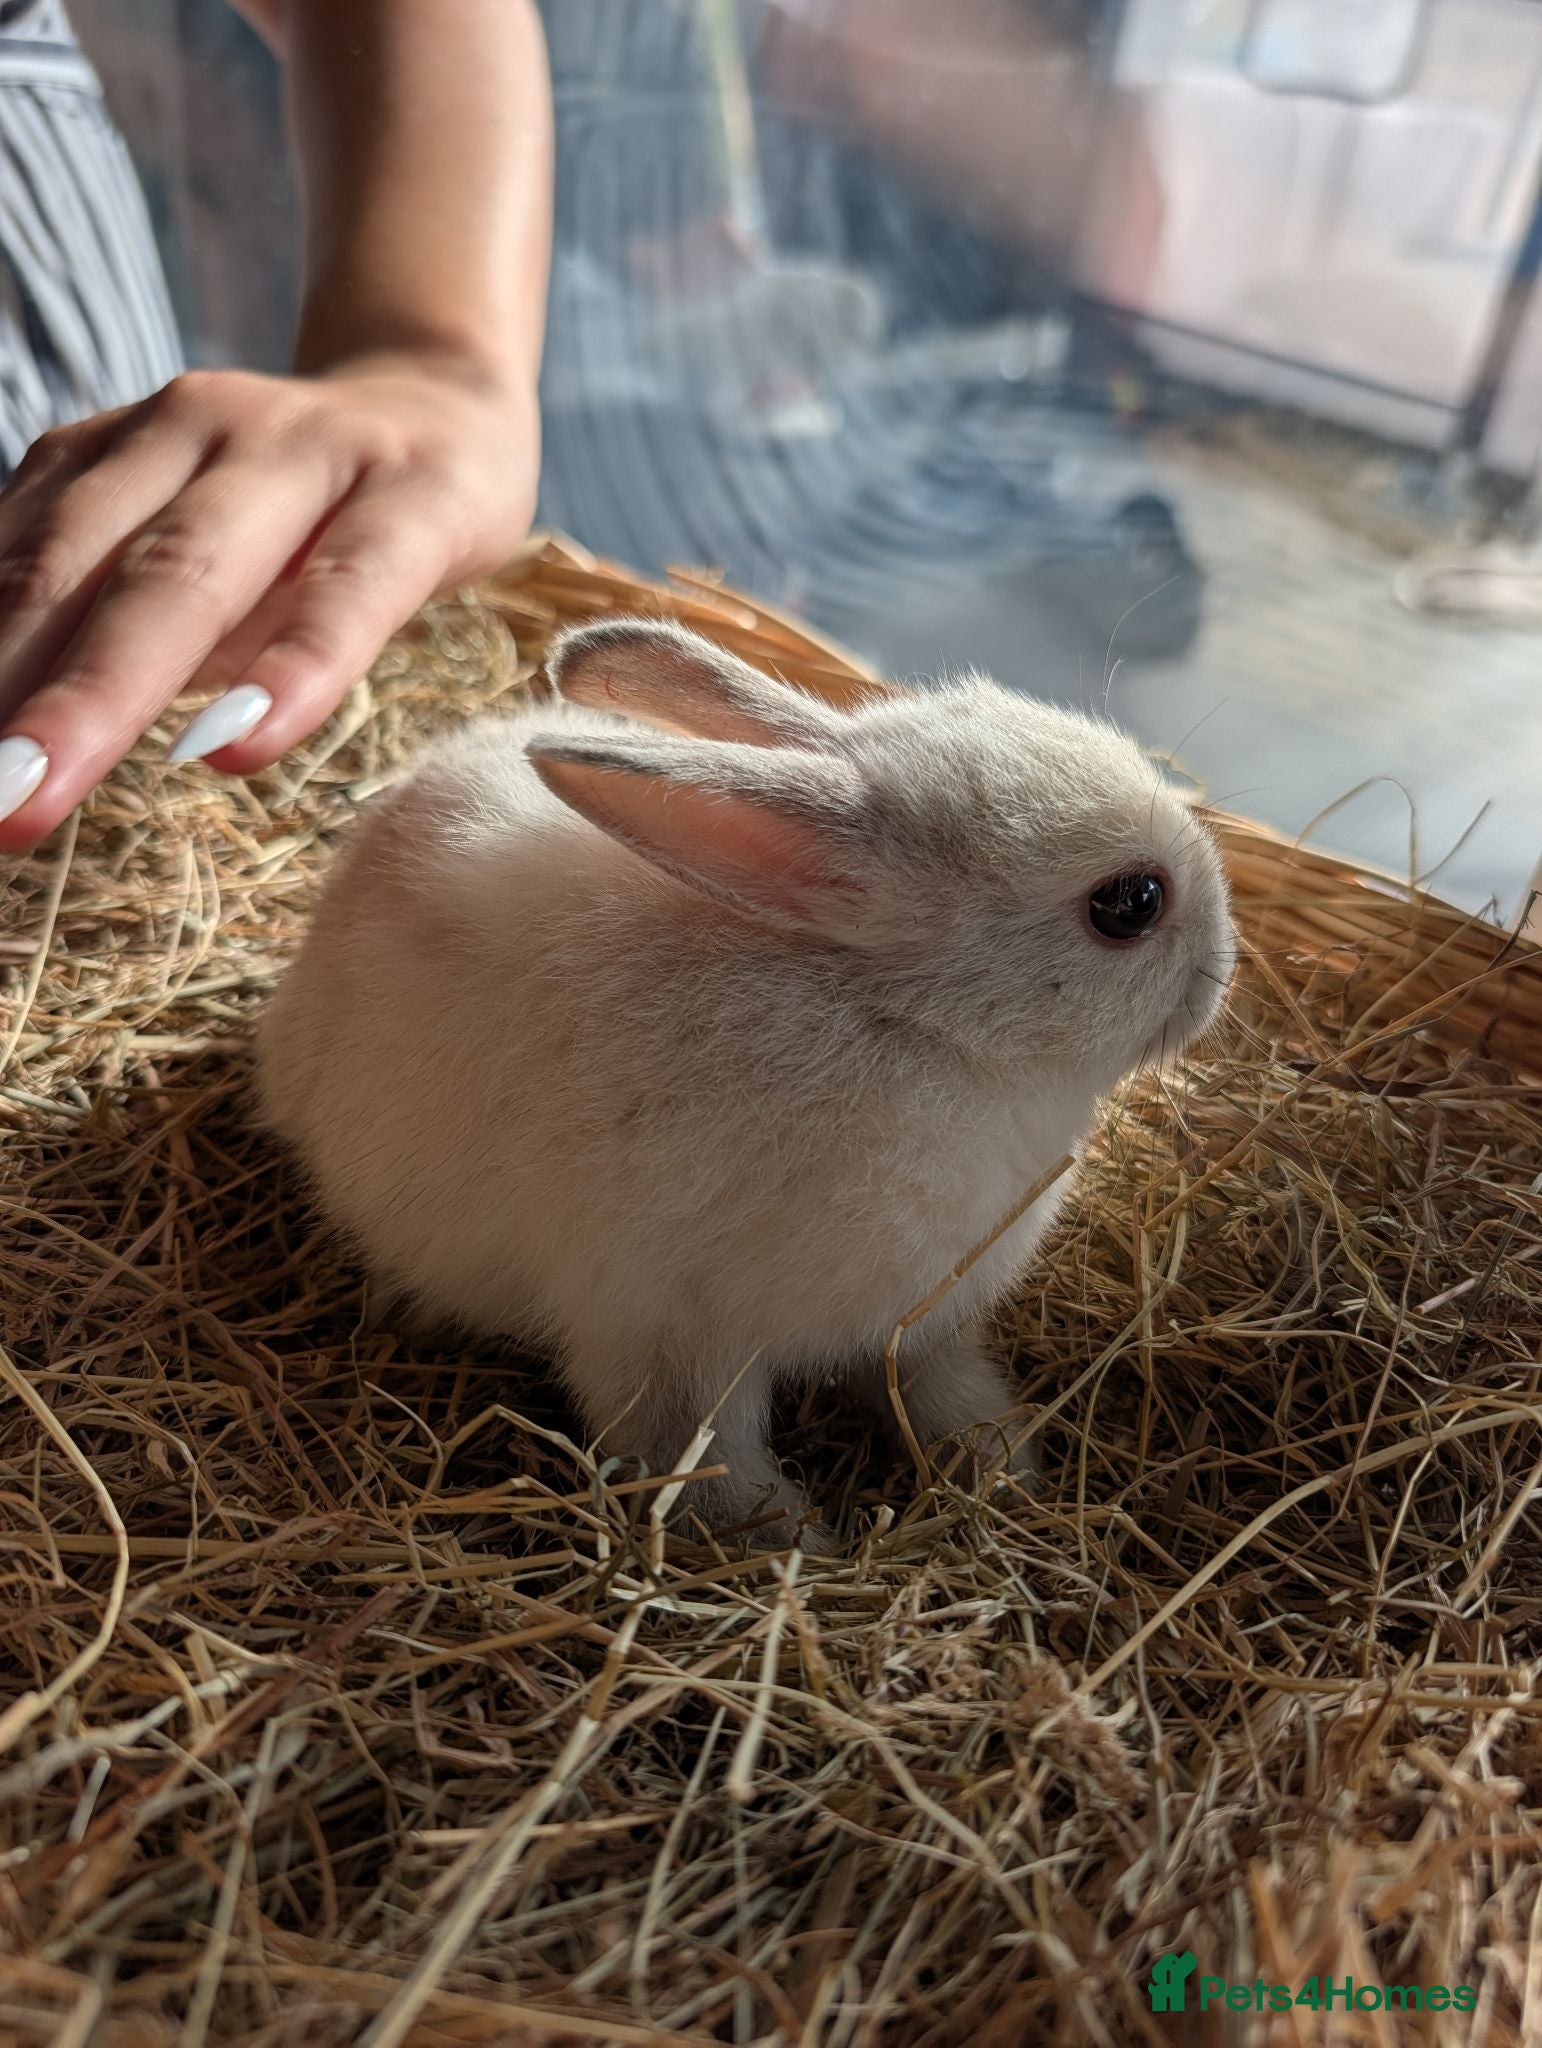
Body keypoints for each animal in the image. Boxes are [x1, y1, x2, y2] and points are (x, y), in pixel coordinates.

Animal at [258, 618, 1235, 1548]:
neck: (918, 1027)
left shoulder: (915, 1326)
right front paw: (797, 1545)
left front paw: (1003, 1473)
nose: (1224, 972)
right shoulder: (668, 1339)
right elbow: (701, 1463)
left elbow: (945, 1397)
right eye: (1129, 904)